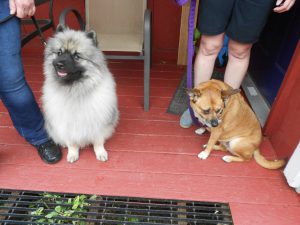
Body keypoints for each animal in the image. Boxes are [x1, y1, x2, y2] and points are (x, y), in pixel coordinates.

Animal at [42, 25, 118, 163]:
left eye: (76, 56)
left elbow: (98, 141)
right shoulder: (66, 124)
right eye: (59, 53)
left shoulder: (98, 122)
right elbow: (72, 143)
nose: (58, 64)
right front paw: (72, 153)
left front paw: (100, 152)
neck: (75, 90)